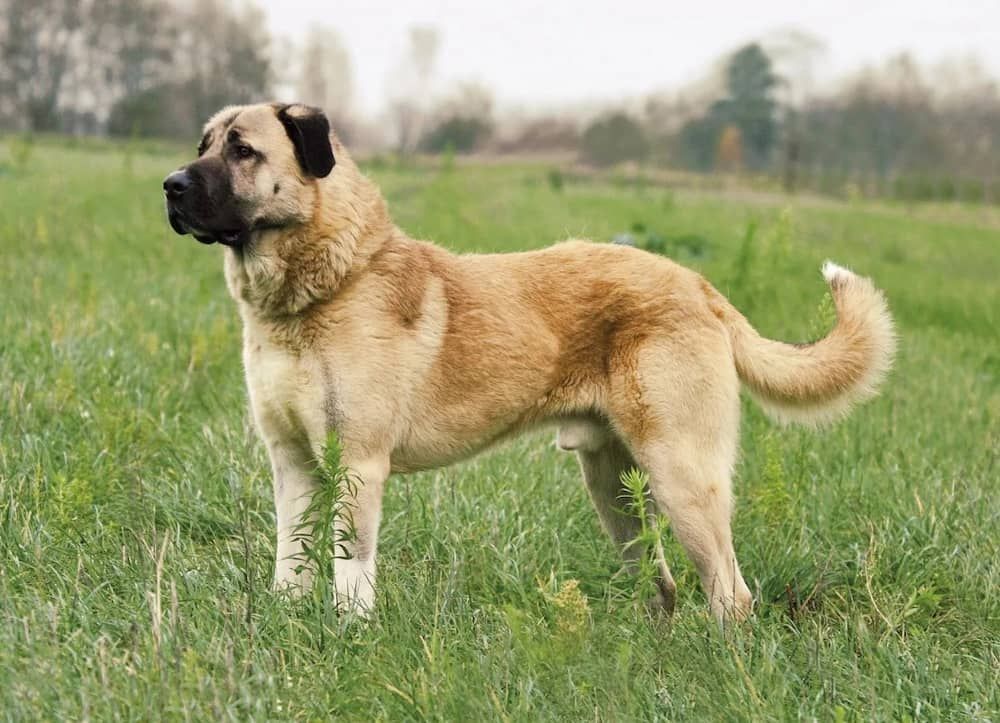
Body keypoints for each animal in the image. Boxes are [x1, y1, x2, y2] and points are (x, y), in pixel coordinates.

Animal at [164, 102, 900, 624]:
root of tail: (698, 285)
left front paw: (349, 639)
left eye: (242, 150)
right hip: (614, 489)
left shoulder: (359, 465)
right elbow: (289, 561)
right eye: (203, 144)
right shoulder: (292, 463)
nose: (169, 185)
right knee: (661, 586)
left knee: (730, 593)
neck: (321, 287)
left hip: (682, 477)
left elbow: (351, 574)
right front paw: (288, 624)